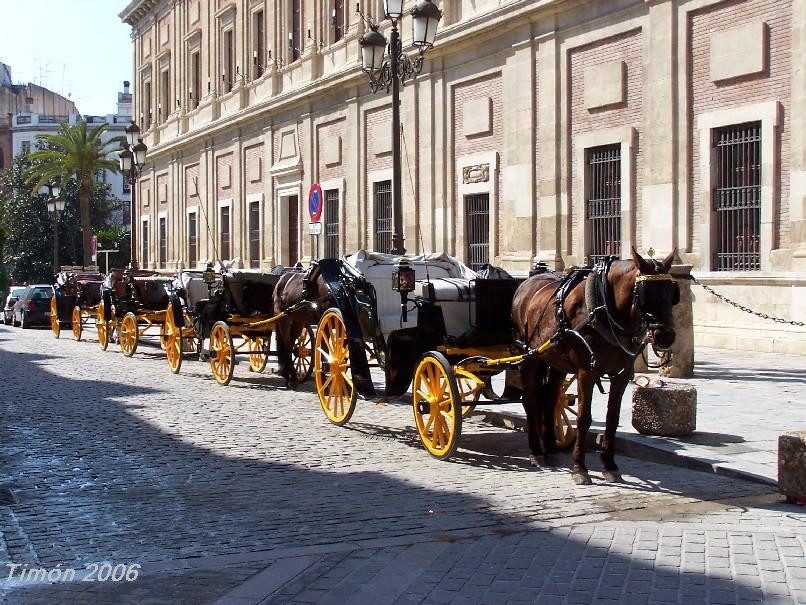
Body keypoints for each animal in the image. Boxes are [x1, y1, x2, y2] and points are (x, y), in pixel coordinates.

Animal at [516, 248, 680, 484]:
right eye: (644, 293)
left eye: (672, 291)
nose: (665, 336)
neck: (603, 308)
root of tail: (527, 283)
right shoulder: (587, 372)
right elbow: (584, 418)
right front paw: (579, 468)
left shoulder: (622, 375)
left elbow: (612, 419)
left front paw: (610, 465)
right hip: (529, 356)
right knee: (530, 400)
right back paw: (536, 452)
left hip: (556, 360)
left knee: (549, 398)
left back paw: (551, 449)